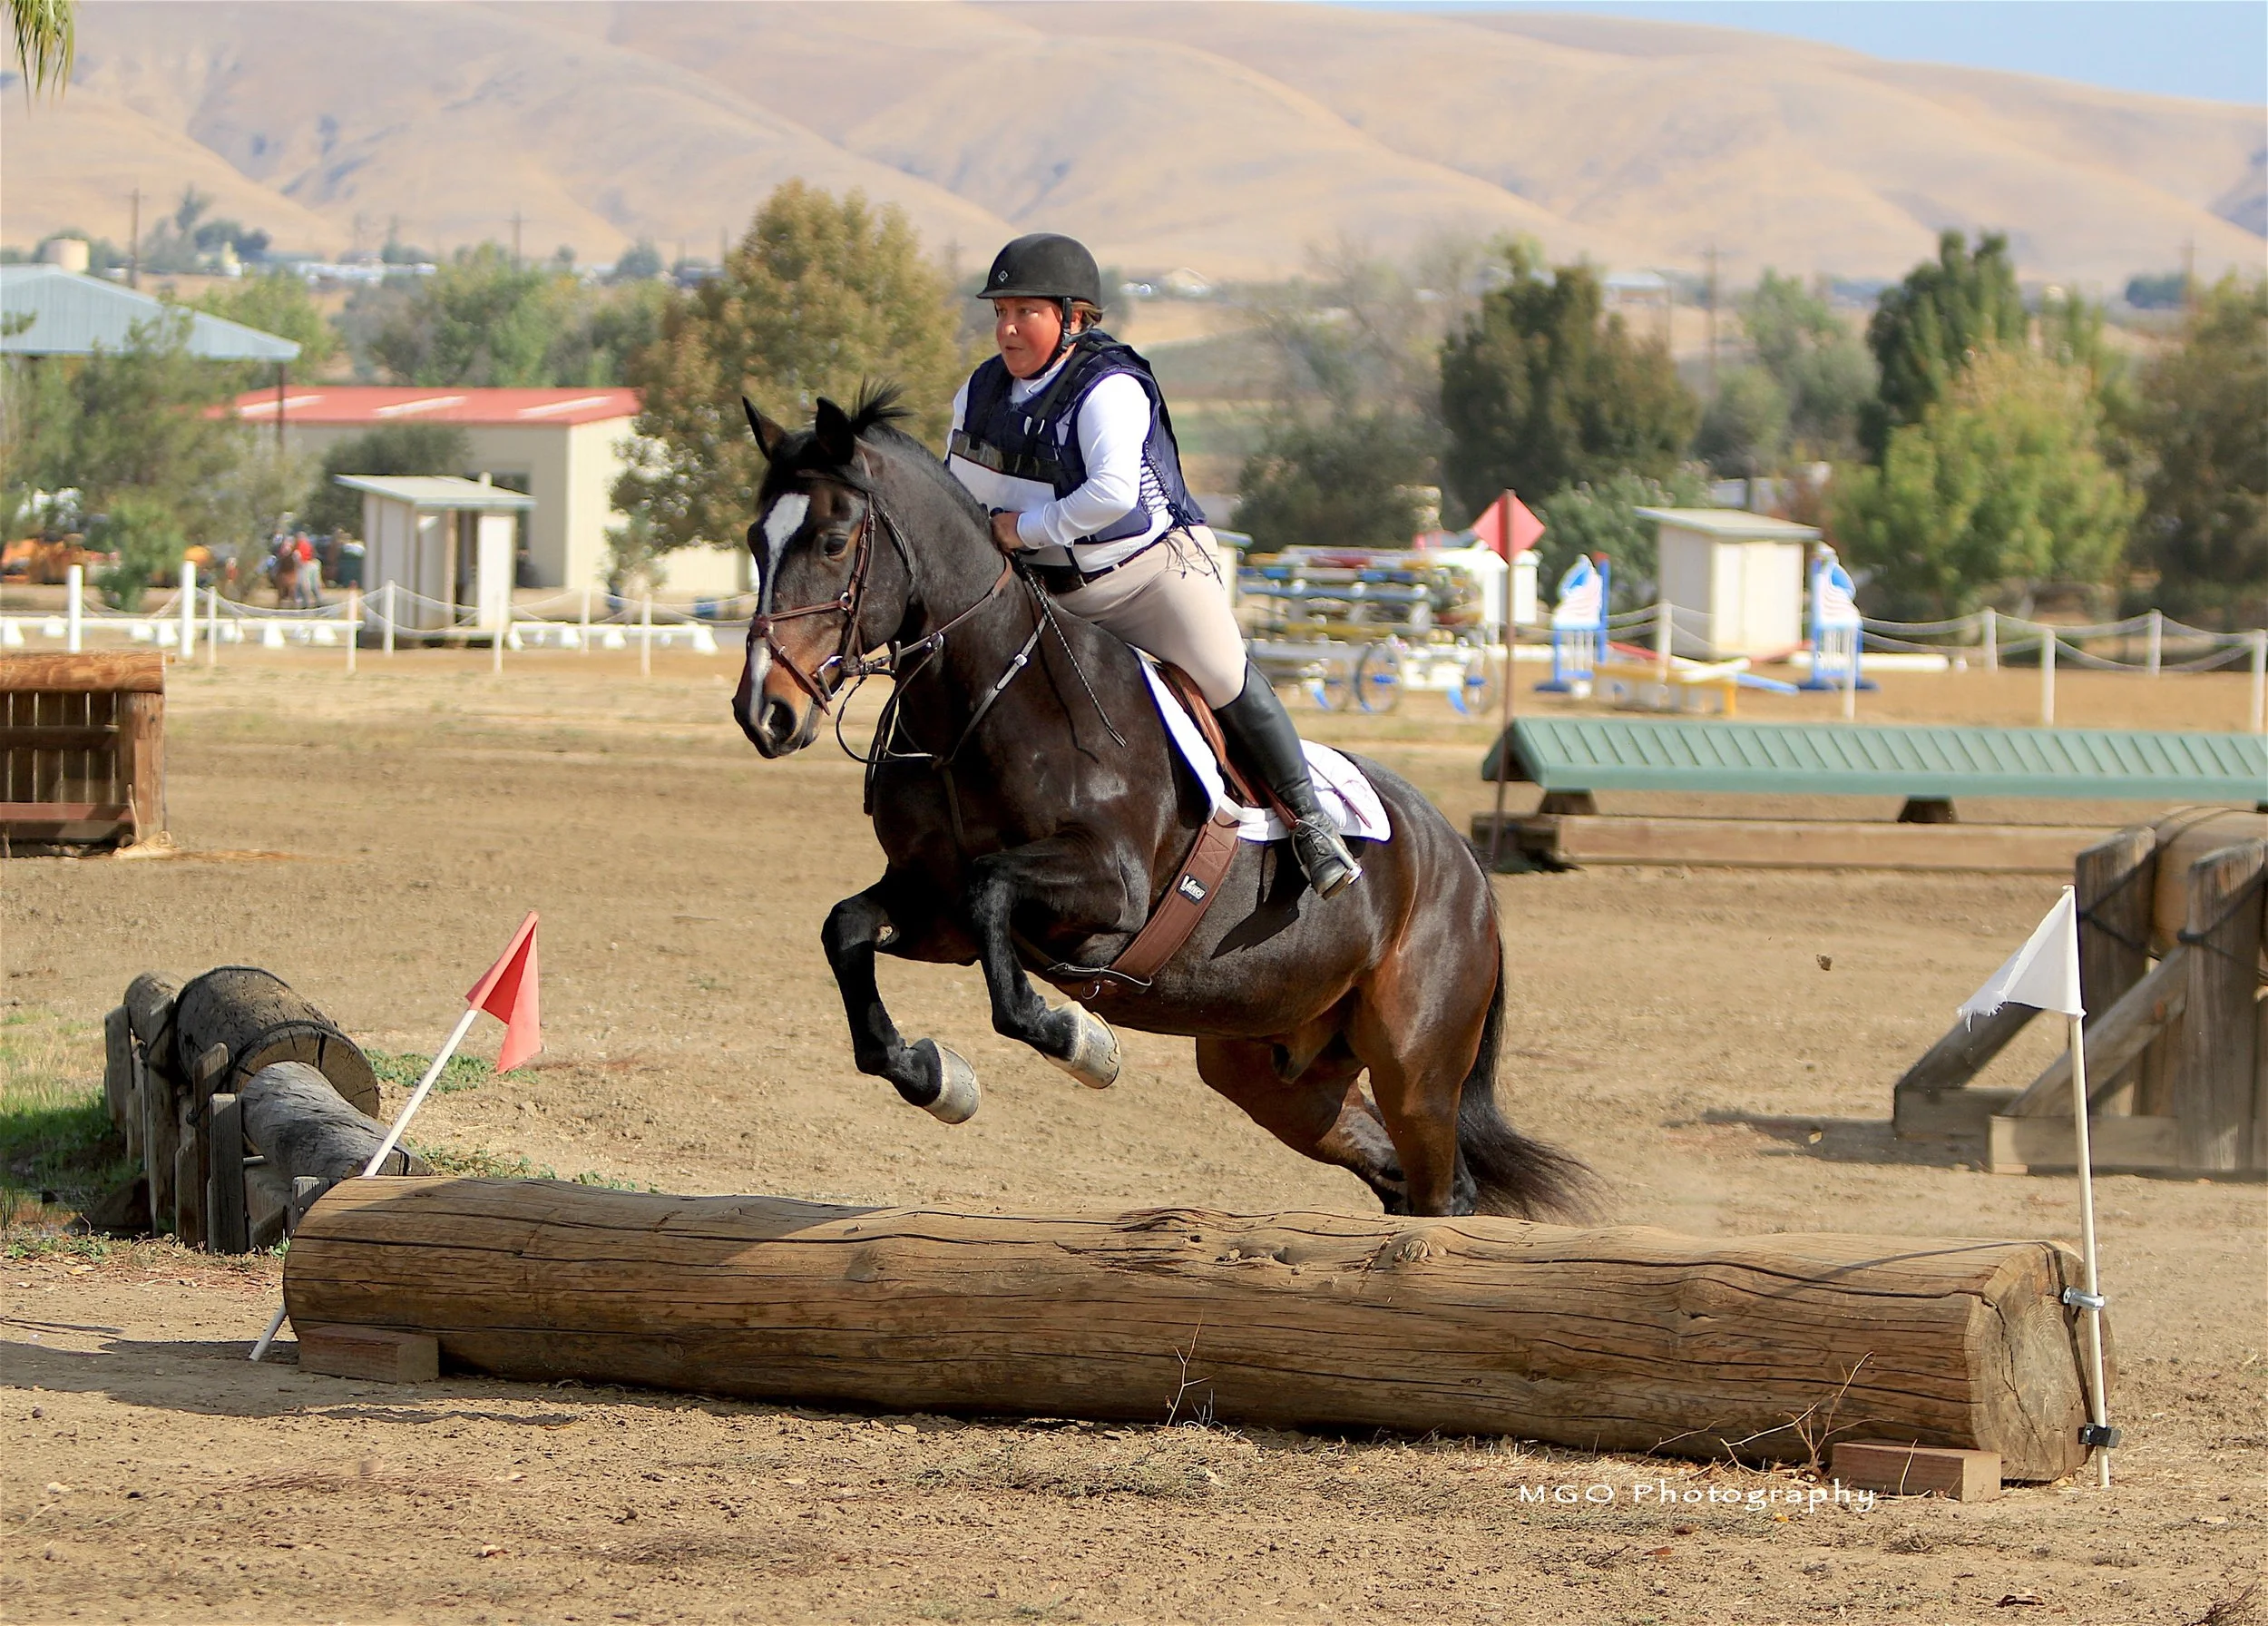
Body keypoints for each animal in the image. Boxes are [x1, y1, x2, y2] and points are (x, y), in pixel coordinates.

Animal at [730, 388, 1586, 1218]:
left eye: (832, 542)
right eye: (754, 541)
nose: (762, 712)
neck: (981, 700)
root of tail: (1463, 862)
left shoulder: (1111, 897)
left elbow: (994, 900)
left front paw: (1082, 1041)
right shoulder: (933, 906)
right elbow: (849, 929)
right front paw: (937, 1079)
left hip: (1416, 1065)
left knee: (1443, 1185)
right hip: (1275, 1071)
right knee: (1395, 1173)